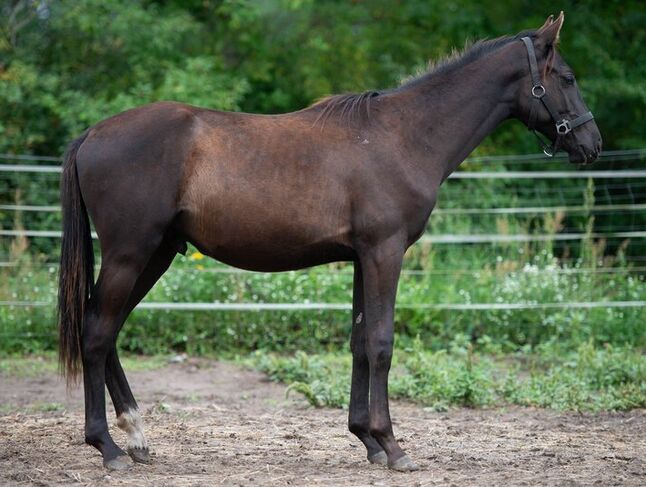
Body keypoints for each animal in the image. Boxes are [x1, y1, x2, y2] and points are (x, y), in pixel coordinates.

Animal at [57, 12, 604, 472]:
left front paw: (367, 439)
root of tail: (92, 134)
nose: (591, 144)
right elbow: (381, 342)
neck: (404, 136)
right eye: (568, 78)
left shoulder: (364, 257)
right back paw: (108, 448)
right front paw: (393, 446)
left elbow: (360, 342)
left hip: (156, 255)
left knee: (108, 331)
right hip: (131, 254)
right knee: (98, 332)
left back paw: (136, 437)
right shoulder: (385, 252)